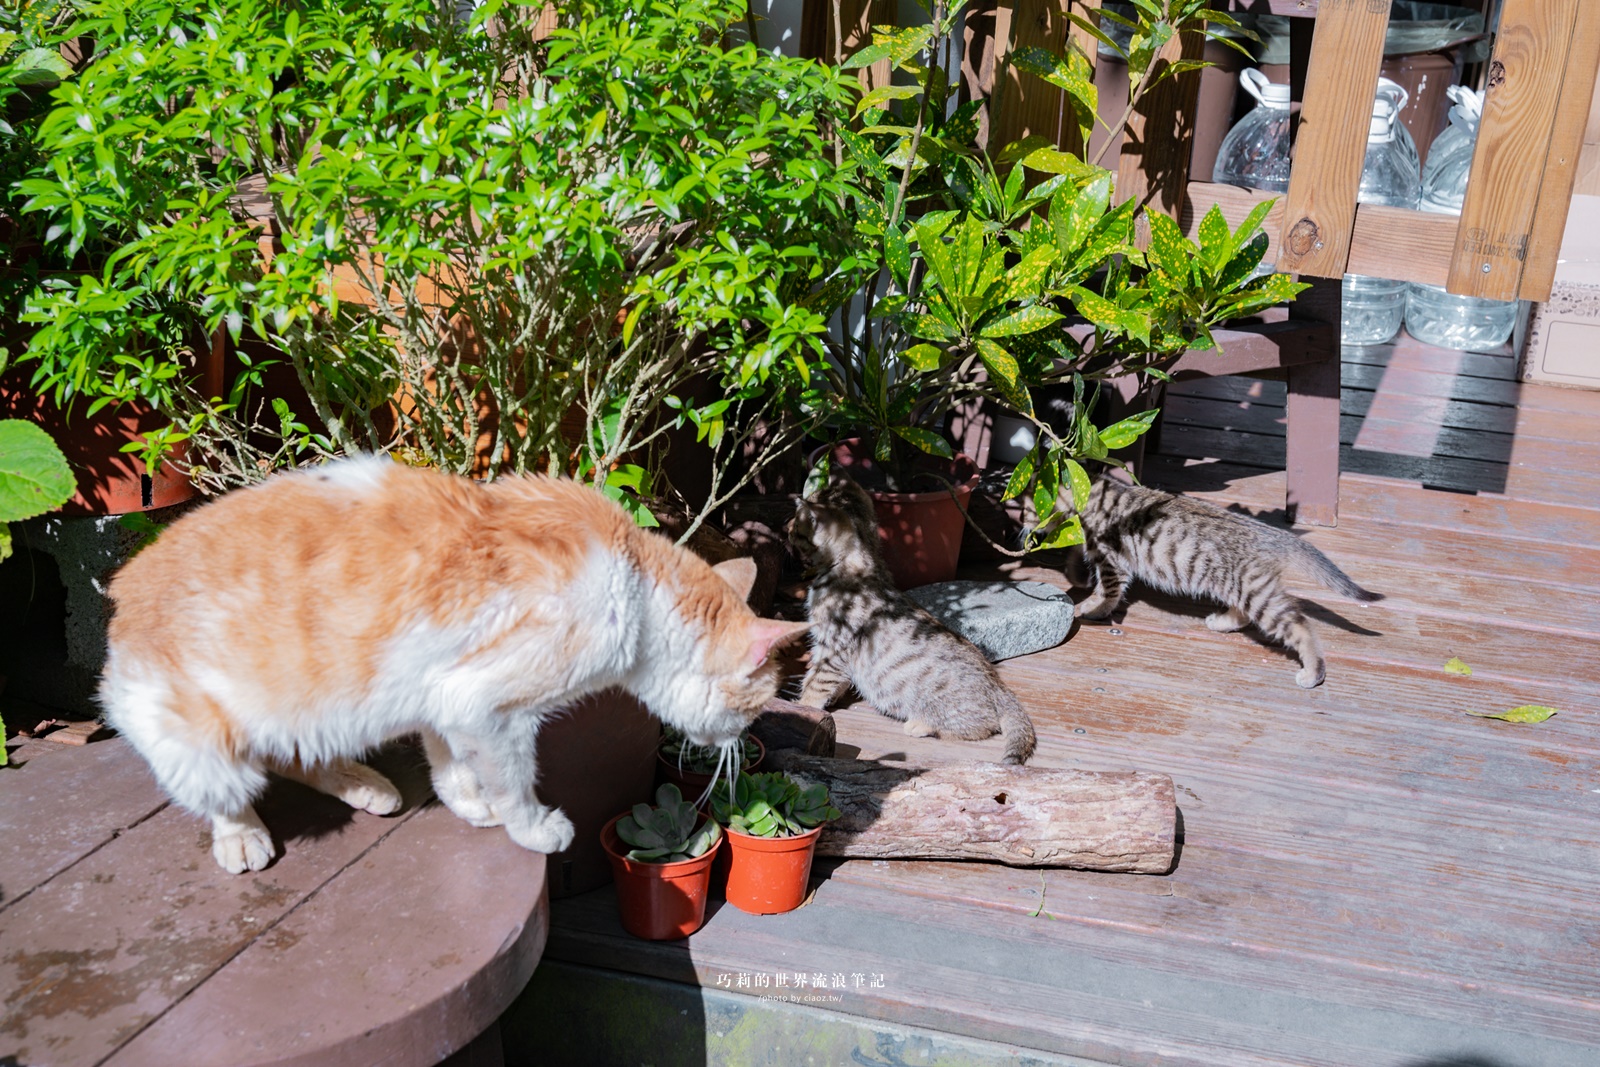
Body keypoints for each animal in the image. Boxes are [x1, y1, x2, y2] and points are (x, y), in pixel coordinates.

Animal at [787, 470, 1036, 764]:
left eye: (796, 526)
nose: (786, 529)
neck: (858, 562)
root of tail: (1000, 688)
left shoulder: (833, 647)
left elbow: (815, 683)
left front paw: (803, 710)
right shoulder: (828, 648)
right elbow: (825, 678)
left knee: (981, 725)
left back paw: (920, 724)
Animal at [1062, 476, 1376, 694]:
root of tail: (1267, 533)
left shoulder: (1112, 562)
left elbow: (1106, 592)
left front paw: (1089, 608)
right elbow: (1078, 559)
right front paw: (1076, 575)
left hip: (1254, 591)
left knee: (1299, 626)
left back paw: (1312, 672)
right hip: (1241, 586)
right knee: (1246, 614)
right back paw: (1223, 622)